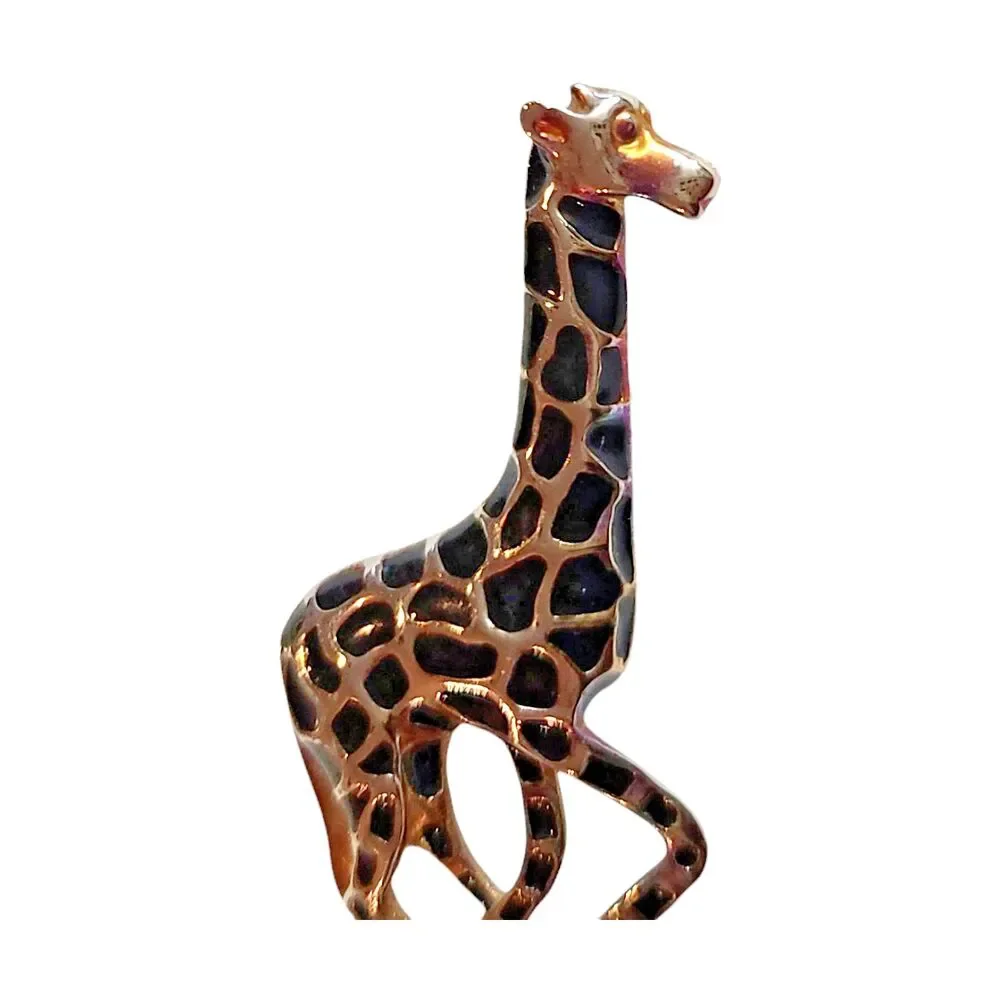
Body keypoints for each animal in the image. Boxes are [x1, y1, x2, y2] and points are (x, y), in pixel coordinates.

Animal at [280, 84, 718, 920]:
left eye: (646, 115)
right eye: (621, 130)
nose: (701, 181)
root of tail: (284, 642)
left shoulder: (523, 735)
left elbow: (532, 880)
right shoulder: (541, 721)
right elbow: (657, 845)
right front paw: (621, 910)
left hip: (414, 750)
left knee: (418, 868)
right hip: (357, 760)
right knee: (368, 892)